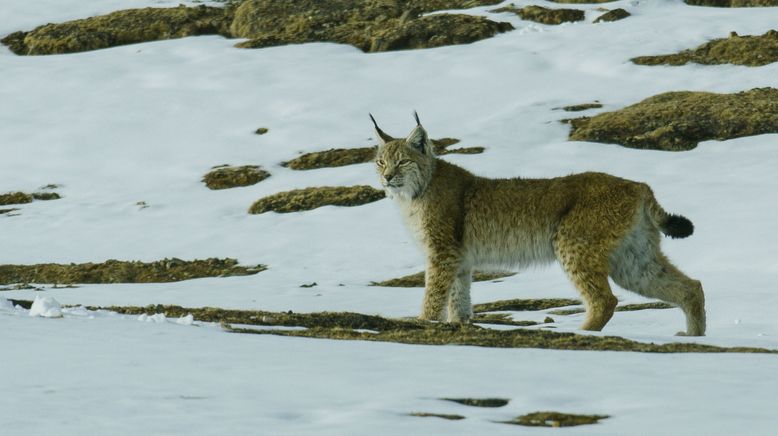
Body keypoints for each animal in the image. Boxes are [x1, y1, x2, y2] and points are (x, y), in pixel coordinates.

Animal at [368, 113, 704, 338]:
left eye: (402, 161)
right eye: (380, 162)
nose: (386, 178)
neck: (416, 192)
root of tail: (637, 185)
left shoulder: (442, 252)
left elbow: (434, 292)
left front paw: (423, 322)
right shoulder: (460, 259)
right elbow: (458, 298)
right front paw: (459, 324)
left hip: (571, 243)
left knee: (605, 300)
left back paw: (581, 333)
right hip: (632, 258)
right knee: (691, 286)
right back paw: (695, 337)